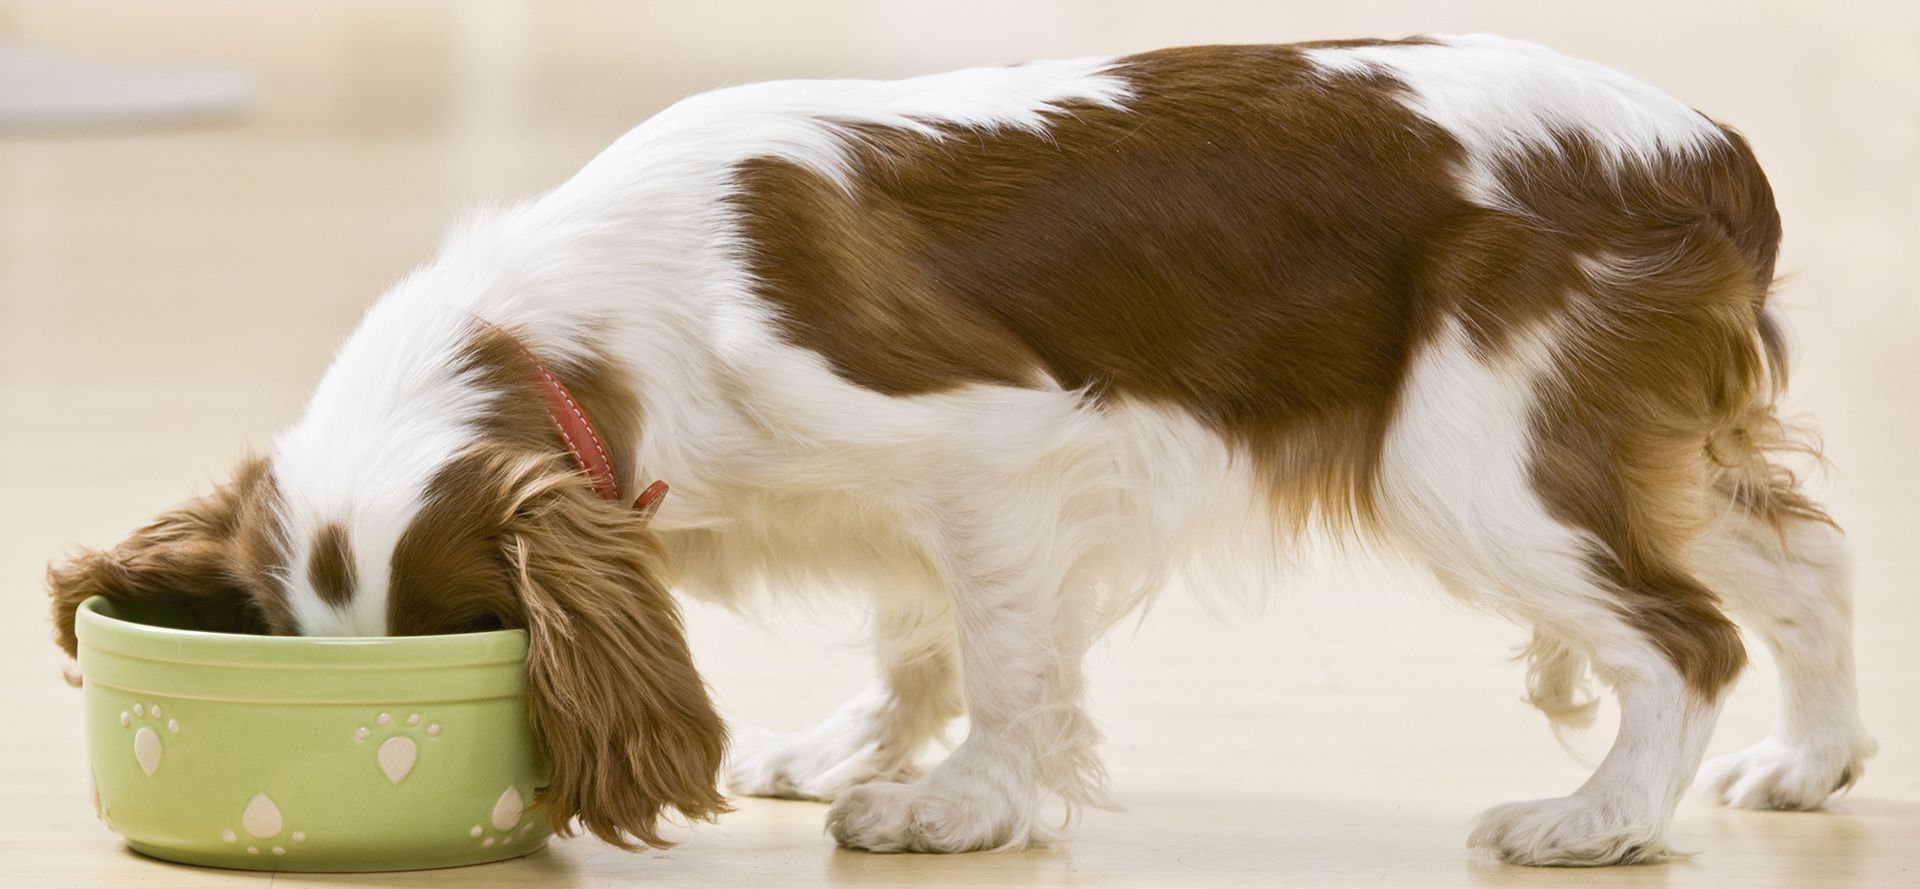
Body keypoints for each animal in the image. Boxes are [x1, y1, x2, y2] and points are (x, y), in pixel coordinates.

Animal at [48, 38, 1873, 867]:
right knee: (1800, 560)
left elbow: (1000, 656)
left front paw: (958, 803)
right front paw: (856, 743)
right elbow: (916, 633)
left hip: (1472, 455)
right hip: (1627, 435)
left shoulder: (992, 454)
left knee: (1680, 634)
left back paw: (1598, 818)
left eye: (472, 638)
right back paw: (1813, 760)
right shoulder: (901, 505)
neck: (584, 329)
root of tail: (1707, 150)